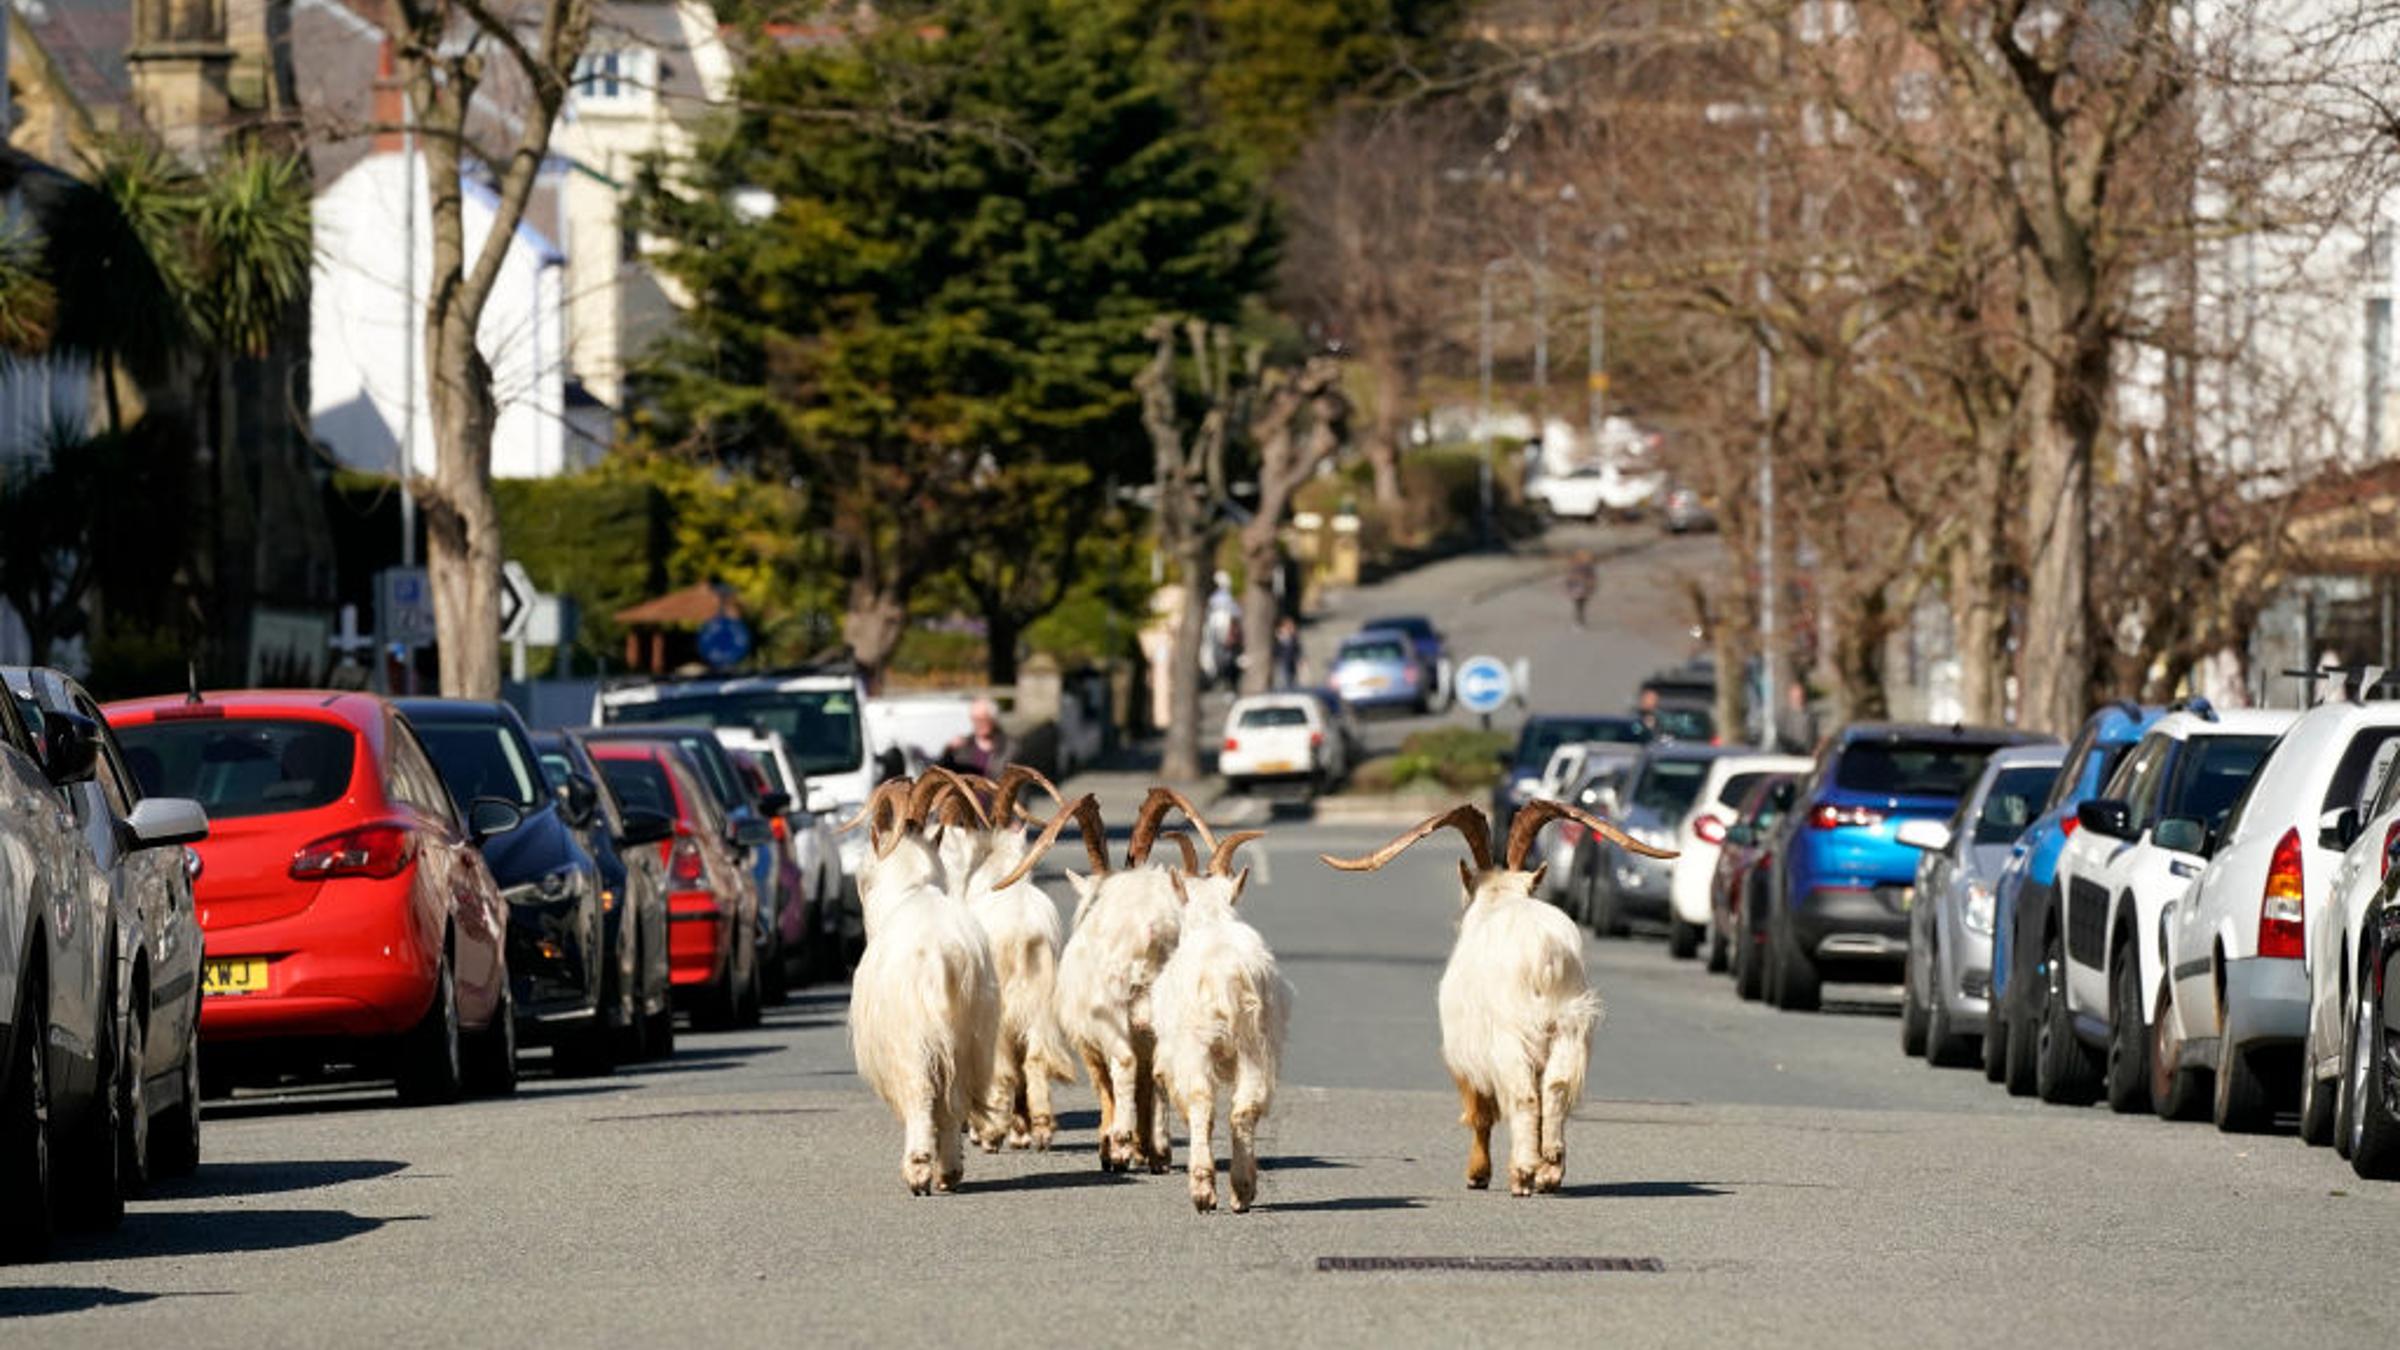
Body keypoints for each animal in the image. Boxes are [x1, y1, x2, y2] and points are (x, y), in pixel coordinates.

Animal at [842, 774, 1001, 1195]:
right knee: (955, 1100)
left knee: (922, 1096)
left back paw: (917, 1171)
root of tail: (944, 958)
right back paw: (949, 1172)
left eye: (862, 876)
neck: (913, 891)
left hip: (915, 1041)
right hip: (970, 1038)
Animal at [1151, 829, 1285, 1213]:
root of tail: (1227, 974)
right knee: (1245, 1106)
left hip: (1196, 1042)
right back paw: (1242, 1191)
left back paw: (1202, 1191)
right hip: (1257, 1041)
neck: (1212, 921)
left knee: (1201, 1101)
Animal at [1321, 800, 1672, 1196]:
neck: (1499, 902)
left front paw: (1477, 1174)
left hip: (1512, 1034)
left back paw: (1522, 1173)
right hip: (1569, 1026)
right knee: (1556, 1087)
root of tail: (1544, 952)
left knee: (1524, 1097)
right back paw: (1550, 1168)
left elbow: (1480, 1113)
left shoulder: (1464, 1051)